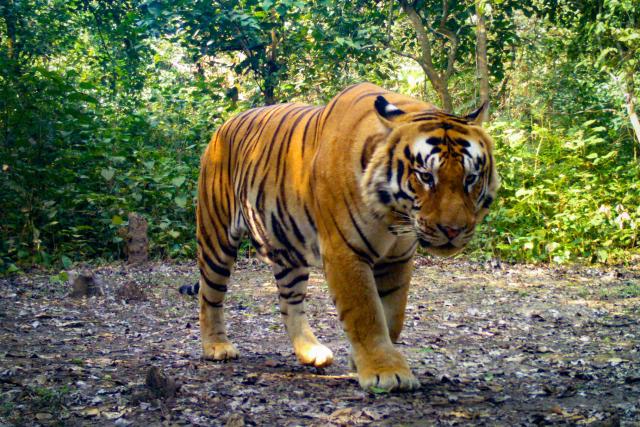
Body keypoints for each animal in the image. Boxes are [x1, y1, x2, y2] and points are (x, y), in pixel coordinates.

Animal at [194, 82, 499, 391]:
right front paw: (386, 371)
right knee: (210, 294)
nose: (453, 230)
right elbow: (366, 312)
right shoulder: (345, 251)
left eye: (471, 178)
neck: (395, 216)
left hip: (288, 249)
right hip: (216, 236)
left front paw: (364, 359)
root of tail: (225, 124)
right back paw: (217, 347)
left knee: (289, 301)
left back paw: (310, 352)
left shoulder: (398, 258)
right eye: (426, 176)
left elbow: (393, 314)